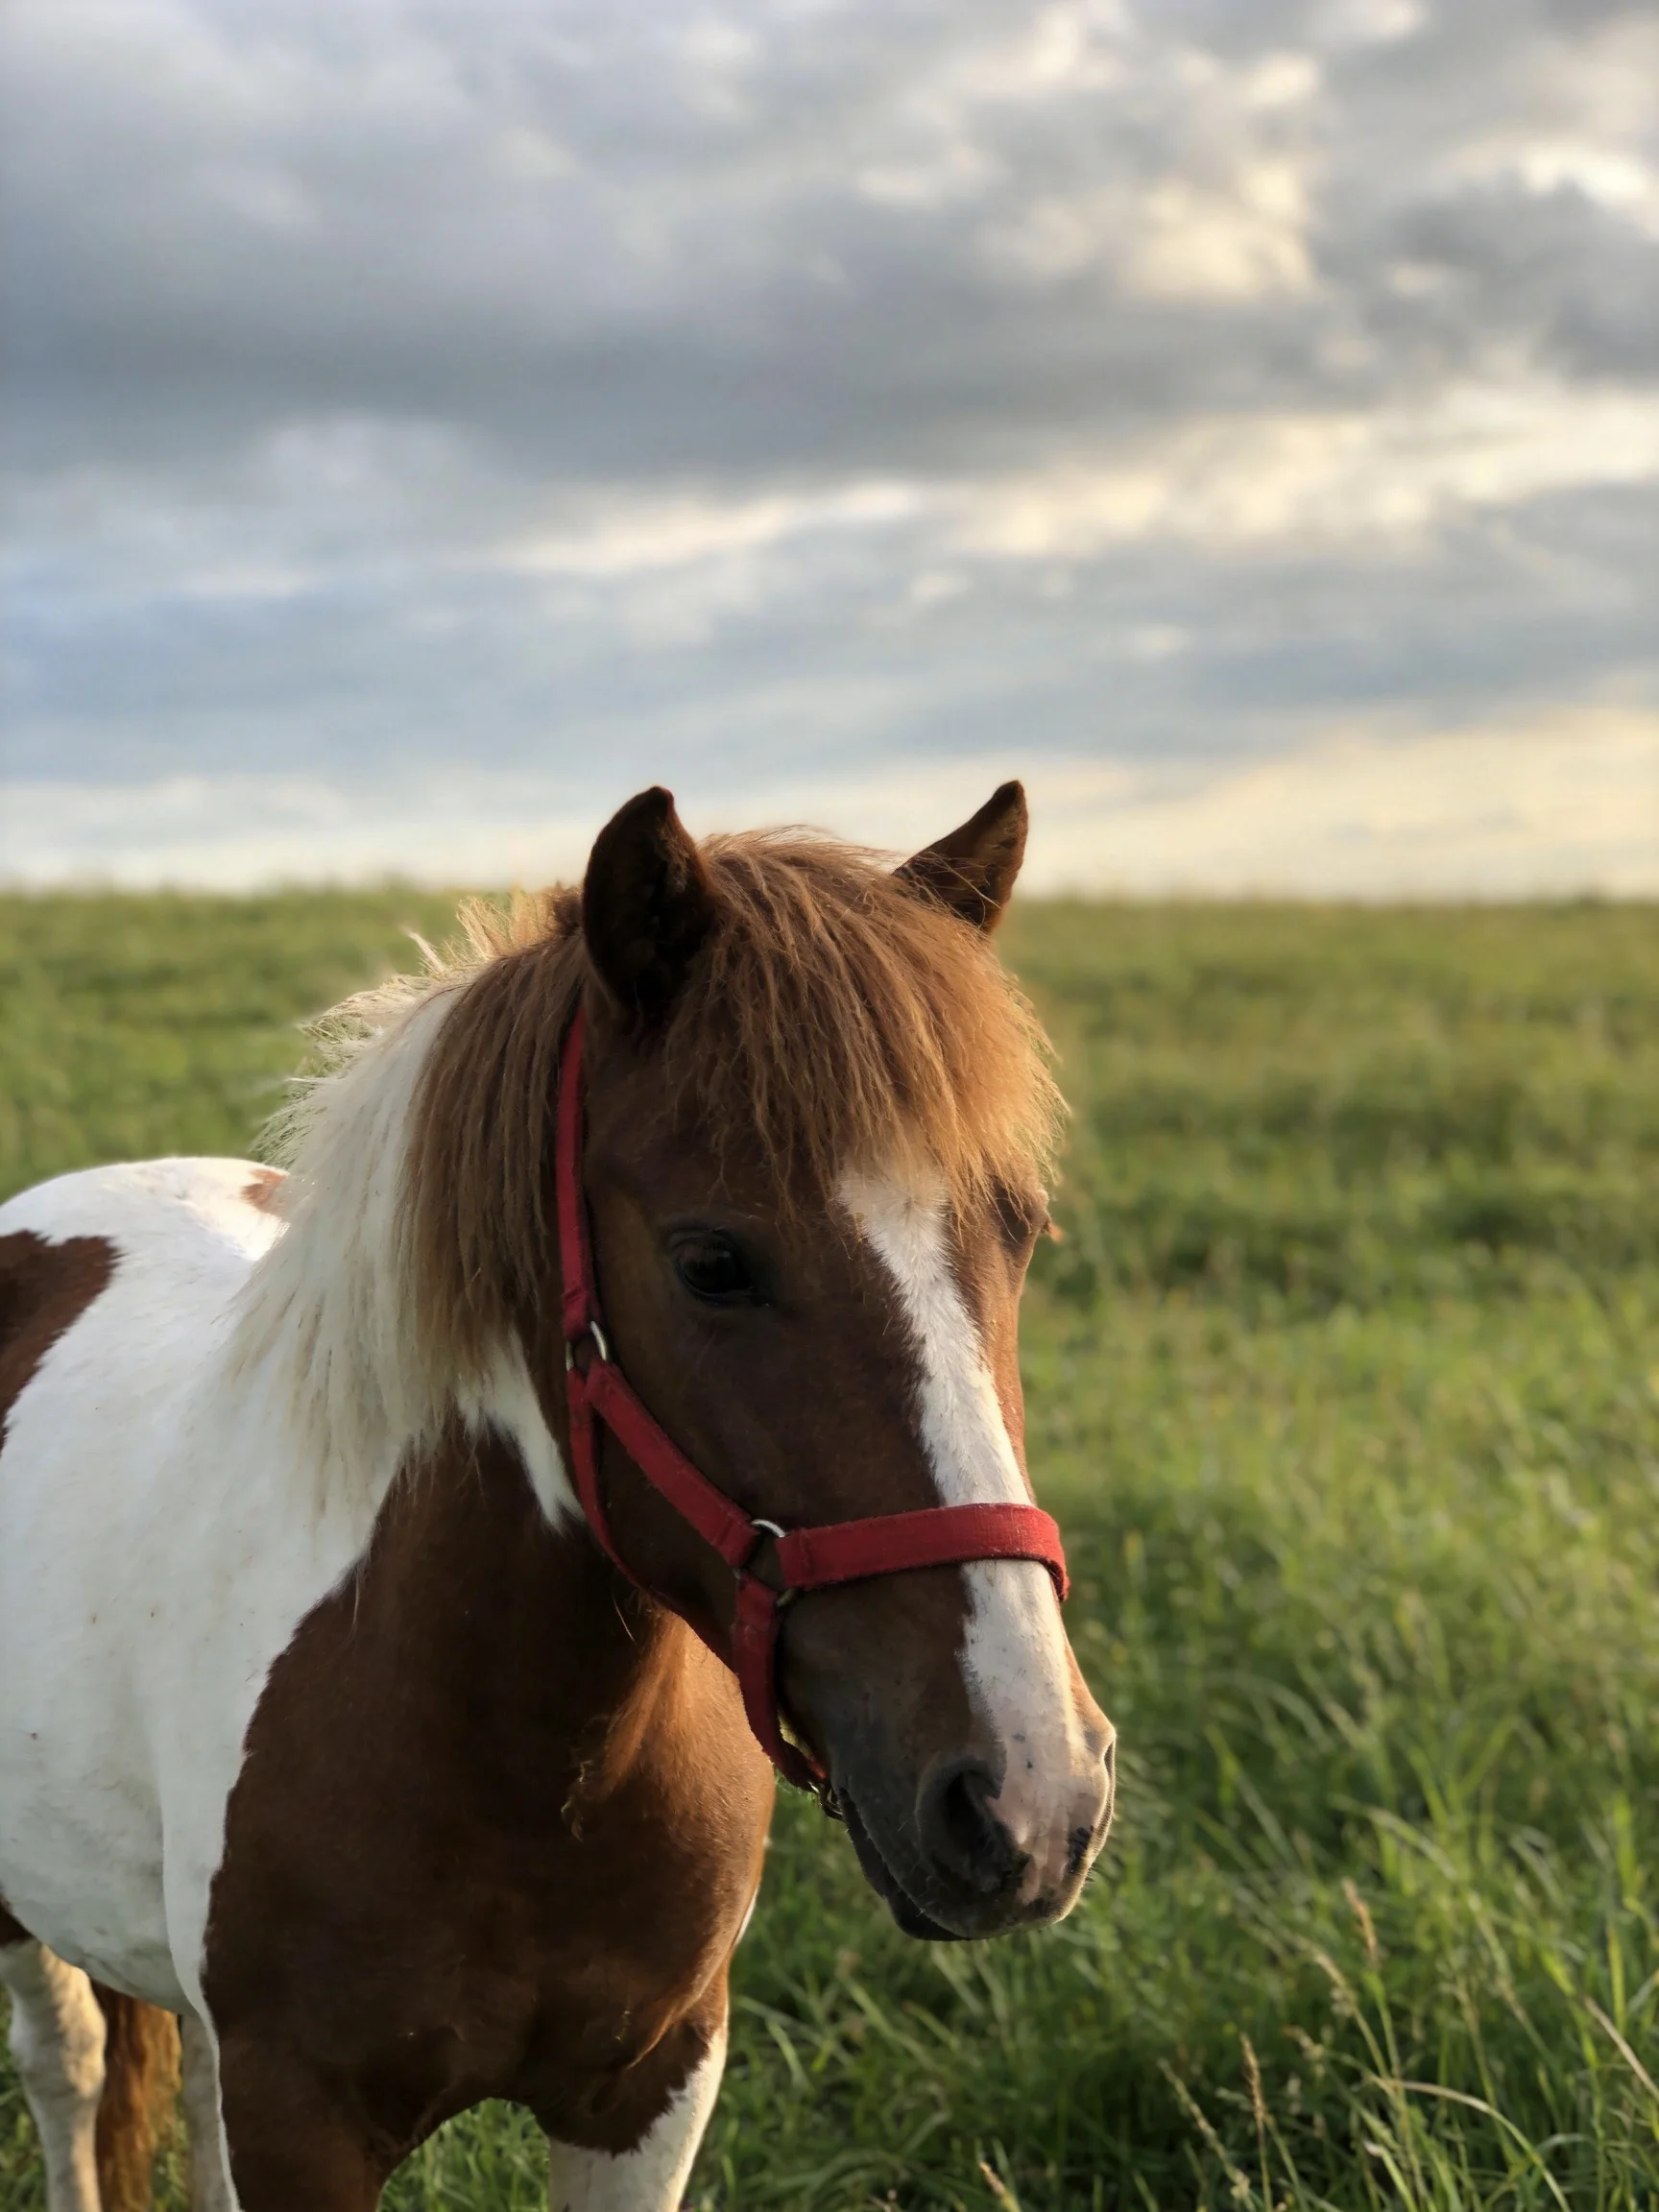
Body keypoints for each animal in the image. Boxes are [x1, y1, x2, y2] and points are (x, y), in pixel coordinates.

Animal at [0, 782, 1115, 2210]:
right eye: (712, 1260)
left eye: (1020, 1229)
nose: (1032, 1797)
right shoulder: (298, 2118)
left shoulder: (652, 2090)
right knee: (70, 2070)